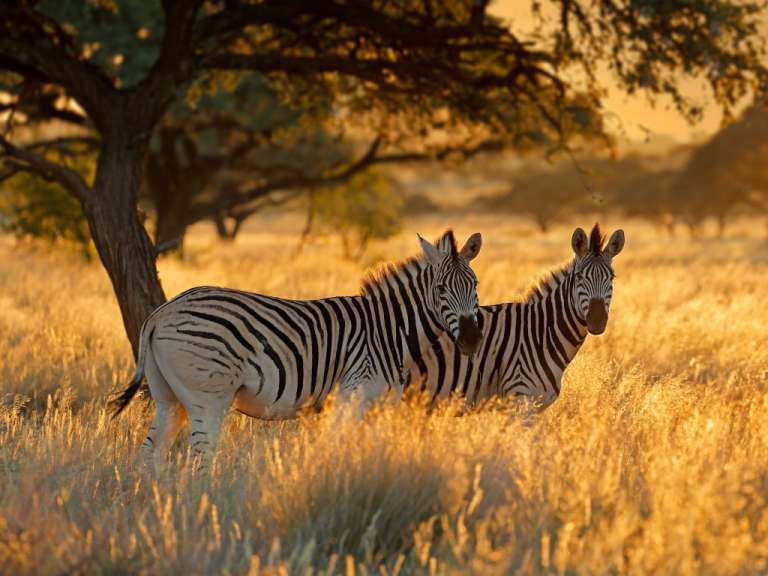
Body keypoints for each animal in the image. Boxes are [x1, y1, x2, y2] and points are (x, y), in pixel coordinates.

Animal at [110, 230, 483, 471]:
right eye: (440, 289)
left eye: (475, 285)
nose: (470, 339)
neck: (388, 331)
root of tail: (161, 312)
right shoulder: (352, 394)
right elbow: (338, 448)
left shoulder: (378, 405)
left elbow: (371, 450)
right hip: (208, 395)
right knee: (201, 453)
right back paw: (206, 505)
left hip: (168, 396)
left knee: (151, 452)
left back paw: (158, 506)